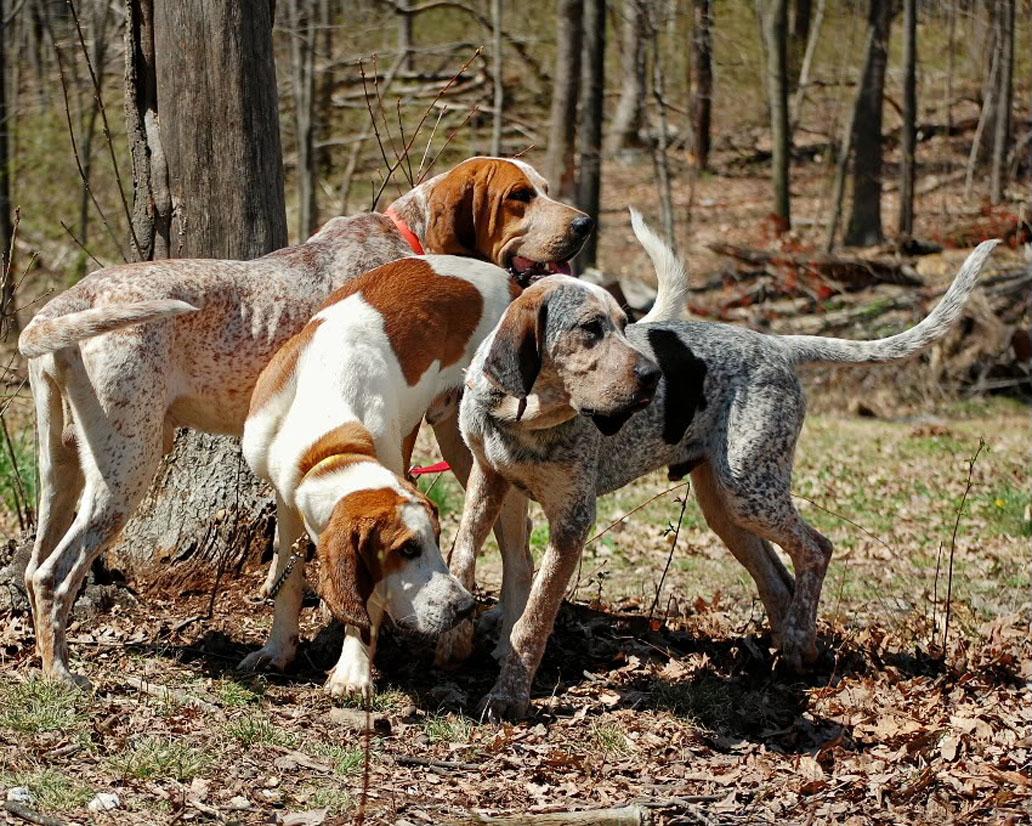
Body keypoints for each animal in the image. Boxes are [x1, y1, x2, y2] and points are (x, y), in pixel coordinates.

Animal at [443, 211, 998, 714]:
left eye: (624, 326)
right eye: (590, 329)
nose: (653, 378)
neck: (523, 415)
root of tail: (778, 345)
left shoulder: (572, 522)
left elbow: (534, 617)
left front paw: (510, 695)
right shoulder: (487, 480)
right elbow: (464, 554)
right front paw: (456, 630)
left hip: (748, 490)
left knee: (816, 549)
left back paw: (798, 642)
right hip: (726, 507)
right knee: (779, 578)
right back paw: (788, 651)